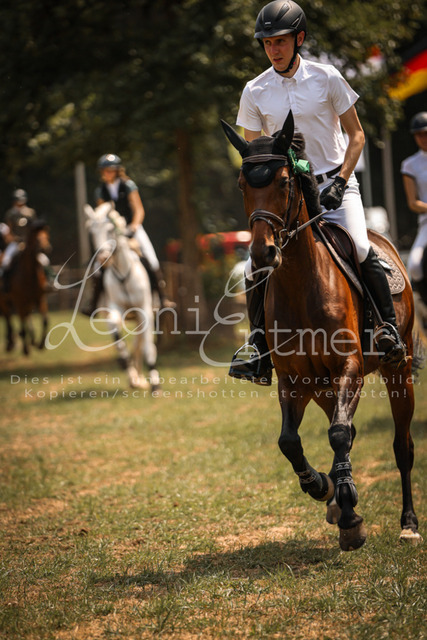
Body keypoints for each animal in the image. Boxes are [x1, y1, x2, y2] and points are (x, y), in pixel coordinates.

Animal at [0, 220, 51, 355]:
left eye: (47, 236)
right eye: (37, 238)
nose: (46, 248)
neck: (30, 274)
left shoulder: (40, 299)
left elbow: (45, 321)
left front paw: (40, 344)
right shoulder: (19, 302)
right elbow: (22, 325)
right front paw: (25, 349)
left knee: (26, 318)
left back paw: (31, 340)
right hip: (5, 302)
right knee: (8, 319)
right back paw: (11, 343)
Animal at [84, 202, 160, 392]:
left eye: (110, 229)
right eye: (91, 231)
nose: (103, 257)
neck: (123, 272)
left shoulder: (145, 311)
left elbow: (148, 347)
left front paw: (156, 385)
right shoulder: (113, 308)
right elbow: (118, 337)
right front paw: (126, 366)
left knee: (141, 343)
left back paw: (141, 378)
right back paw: (135, 377)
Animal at [222, 111, 422, 550]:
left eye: (284, 181)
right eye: (242, 185)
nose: (262, 253)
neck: (301, 284)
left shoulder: (348, 368)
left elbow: (339, 434)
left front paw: (349, 514)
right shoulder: (294, 380)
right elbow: (290, 441)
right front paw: (323, 488)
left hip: (396, 371)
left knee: (401, 446)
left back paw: (408, 523)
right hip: (321, 386)